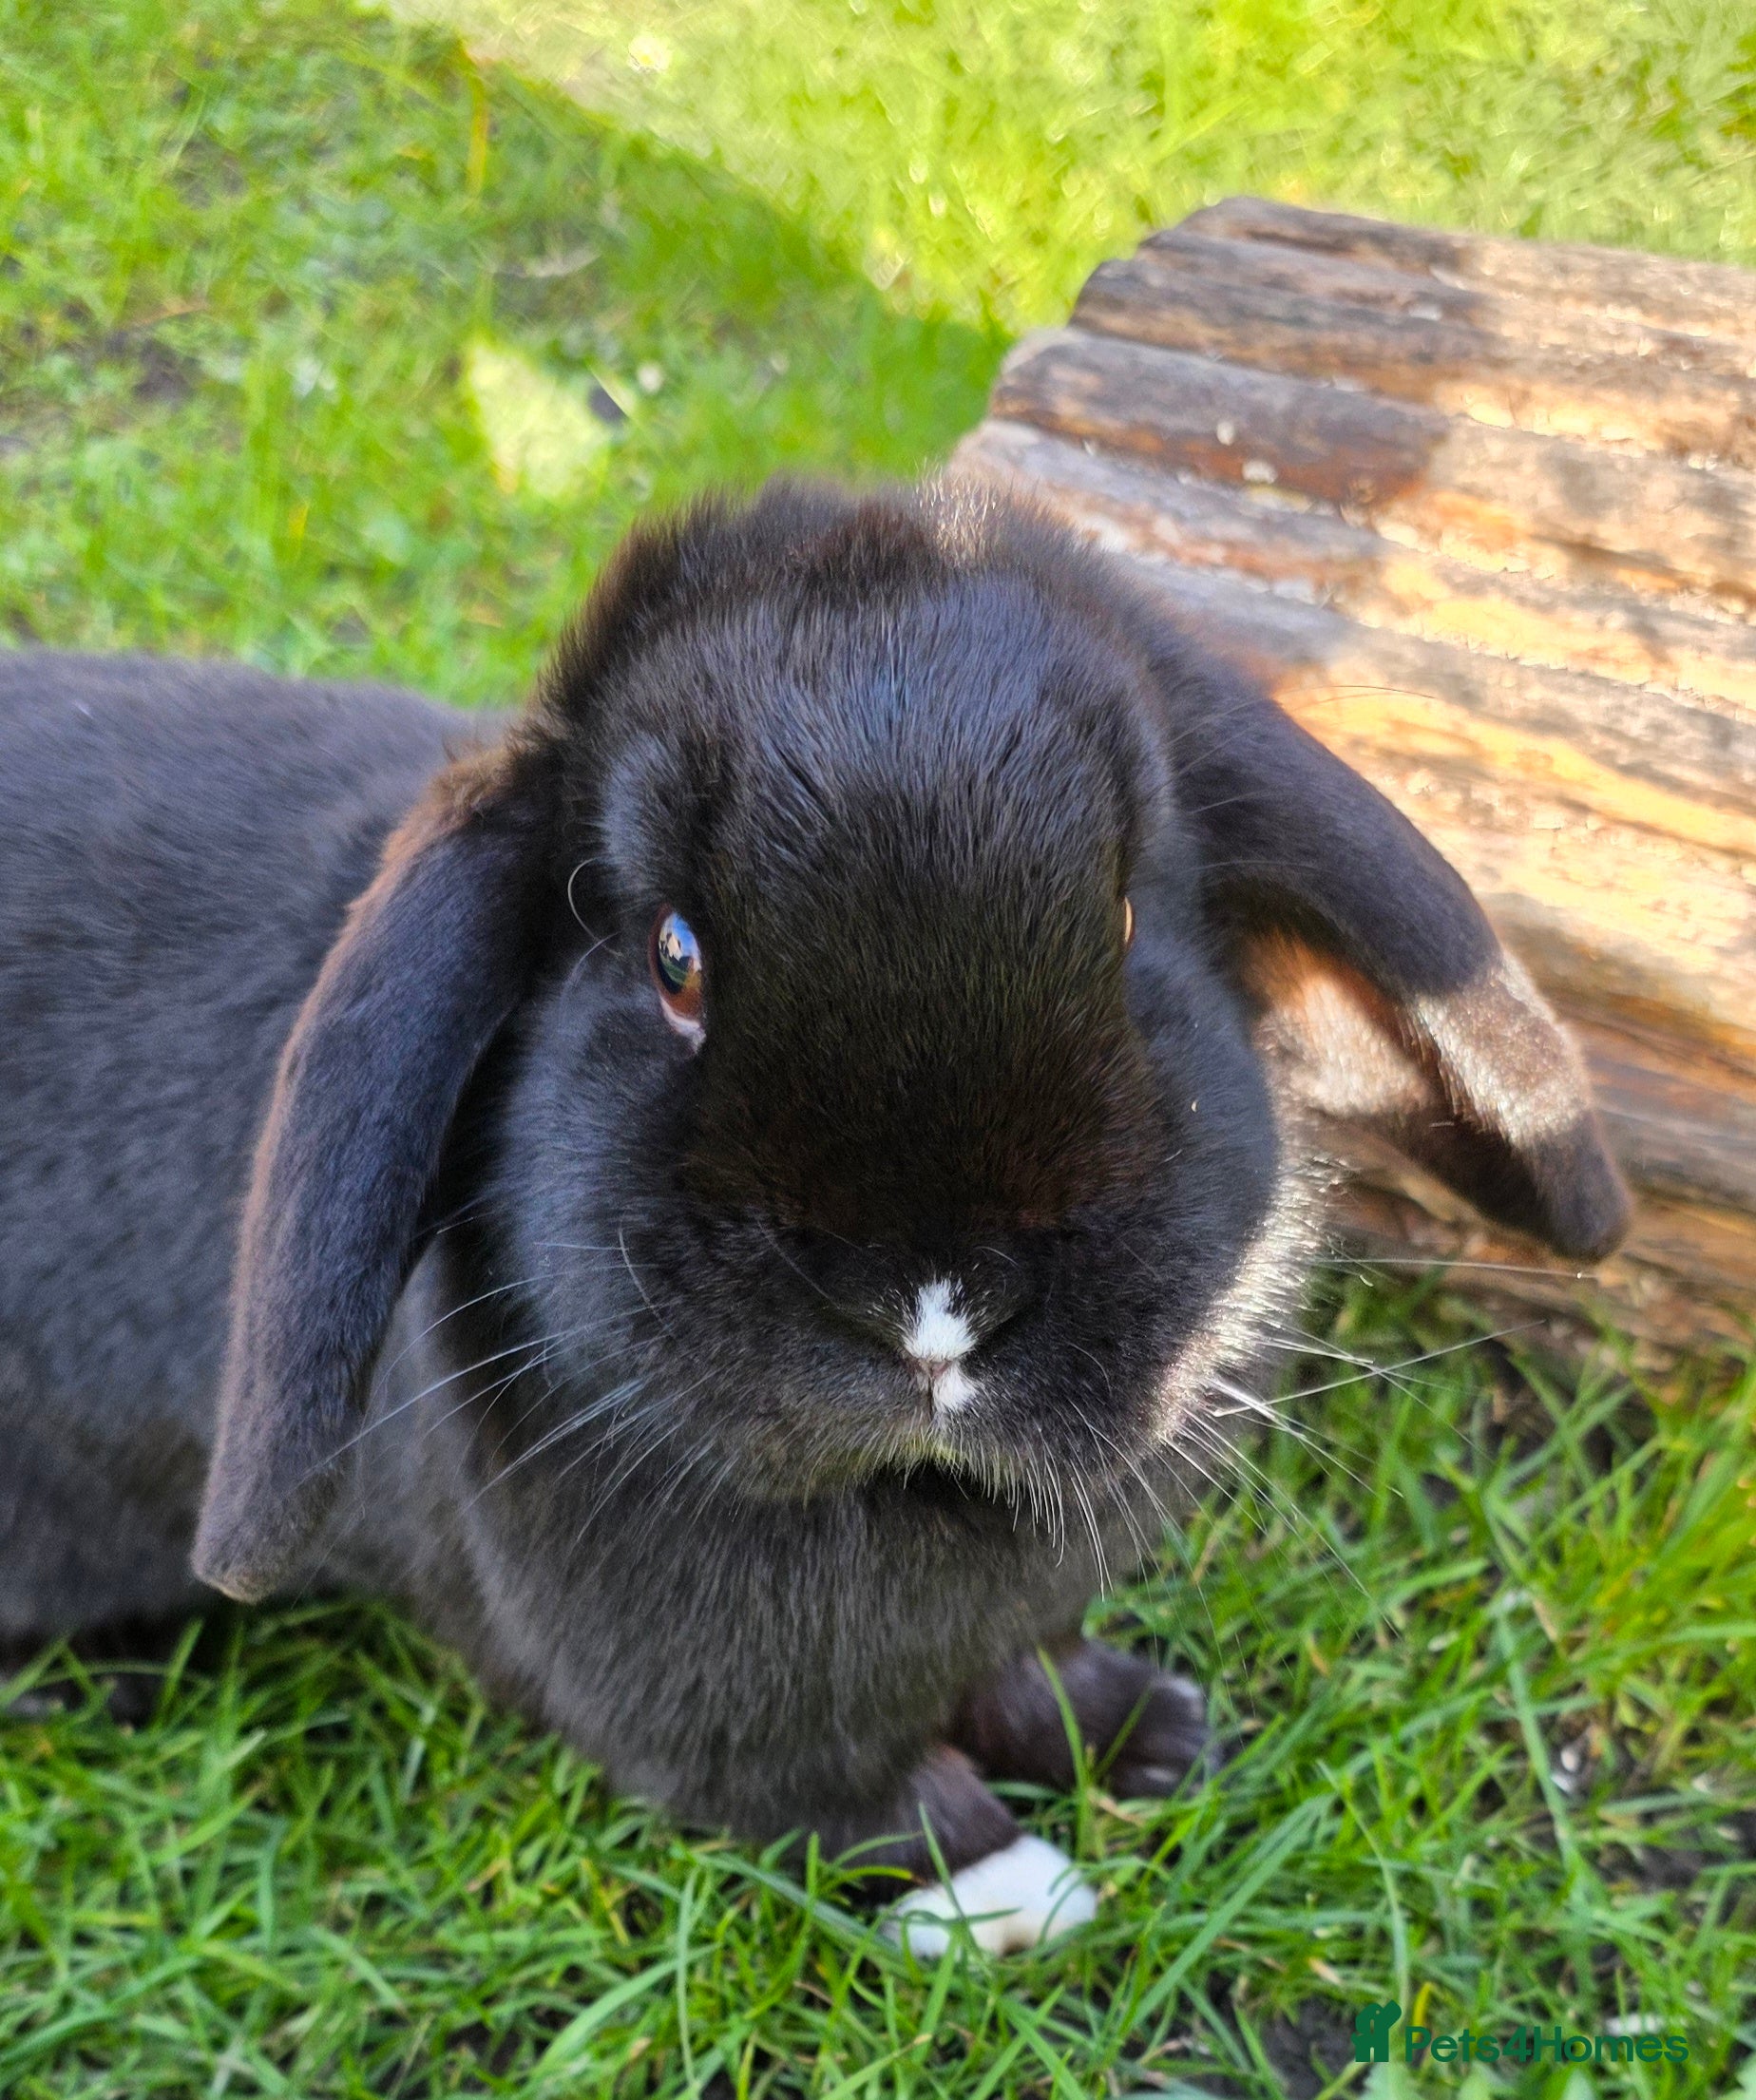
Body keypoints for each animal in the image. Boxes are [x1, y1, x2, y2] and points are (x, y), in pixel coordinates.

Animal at [0, 479, 1628, 1952]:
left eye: (1121, 927)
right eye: (674, 956)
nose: (937, 1306)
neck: (912, 1500)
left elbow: (1032, 1671)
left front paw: (1148, 1733)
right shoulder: (722, 1731)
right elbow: (860, 1810)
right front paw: (1010, 1893)